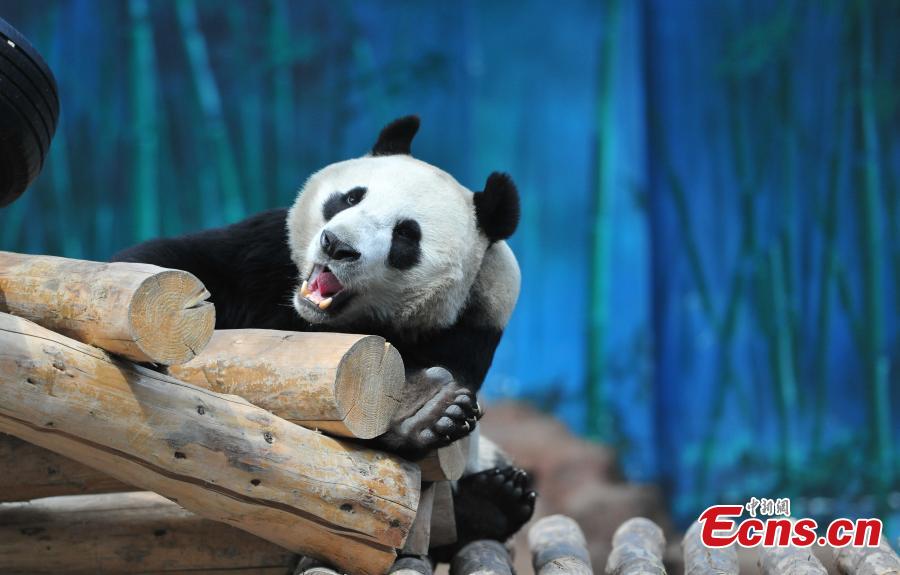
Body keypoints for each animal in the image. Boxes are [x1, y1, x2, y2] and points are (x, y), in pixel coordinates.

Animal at [112, 116, 535, 560]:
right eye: (350, 197)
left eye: (406, 234)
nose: (337, 245)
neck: (321, 320)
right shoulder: (264, 252)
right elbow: (174, 263)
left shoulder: (474, 320)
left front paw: (422, 410)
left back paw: (492, 496)